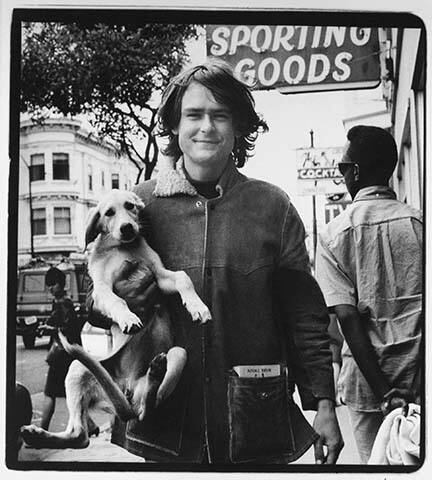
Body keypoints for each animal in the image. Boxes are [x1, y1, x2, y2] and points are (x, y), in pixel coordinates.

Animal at [21, 188, 212, 450]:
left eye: (130, 206)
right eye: (108, 213)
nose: (127, 228)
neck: (122, 248)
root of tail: (126, 391)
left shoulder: (160, 276)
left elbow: (184, 278)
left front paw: (198, 307)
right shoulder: (102, 290)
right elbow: (117, 300)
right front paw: (128, 318)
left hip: (178, 354)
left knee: (146, 410)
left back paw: (154, 374)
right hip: (77, 368)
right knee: (81, 435)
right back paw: (38, 436)